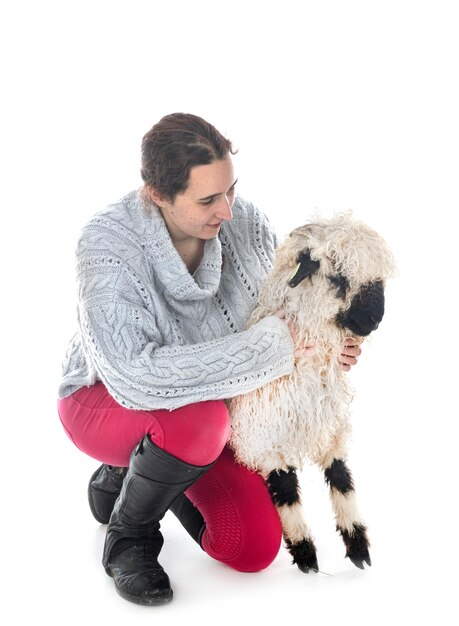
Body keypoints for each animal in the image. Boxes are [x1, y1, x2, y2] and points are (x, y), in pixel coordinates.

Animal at [228, 213, 398, 572]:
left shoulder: (330, 430)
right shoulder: (266, 440)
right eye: (339, 277)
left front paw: (358, 547)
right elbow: (286, 492)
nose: (375, 318)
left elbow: (342, 481)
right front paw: (306, 554)